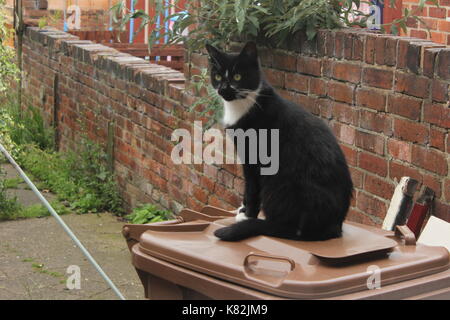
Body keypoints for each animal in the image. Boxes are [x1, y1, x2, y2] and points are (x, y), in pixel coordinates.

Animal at [206, 42, 354, 241]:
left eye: (237, 76)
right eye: (217, 76)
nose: (223, 89)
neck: (244, 105)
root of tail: (333, 227)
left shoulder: (253, 158)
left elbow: (251, 187)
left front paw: (247, 215)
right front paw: (244, 210)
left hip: (279, 182)